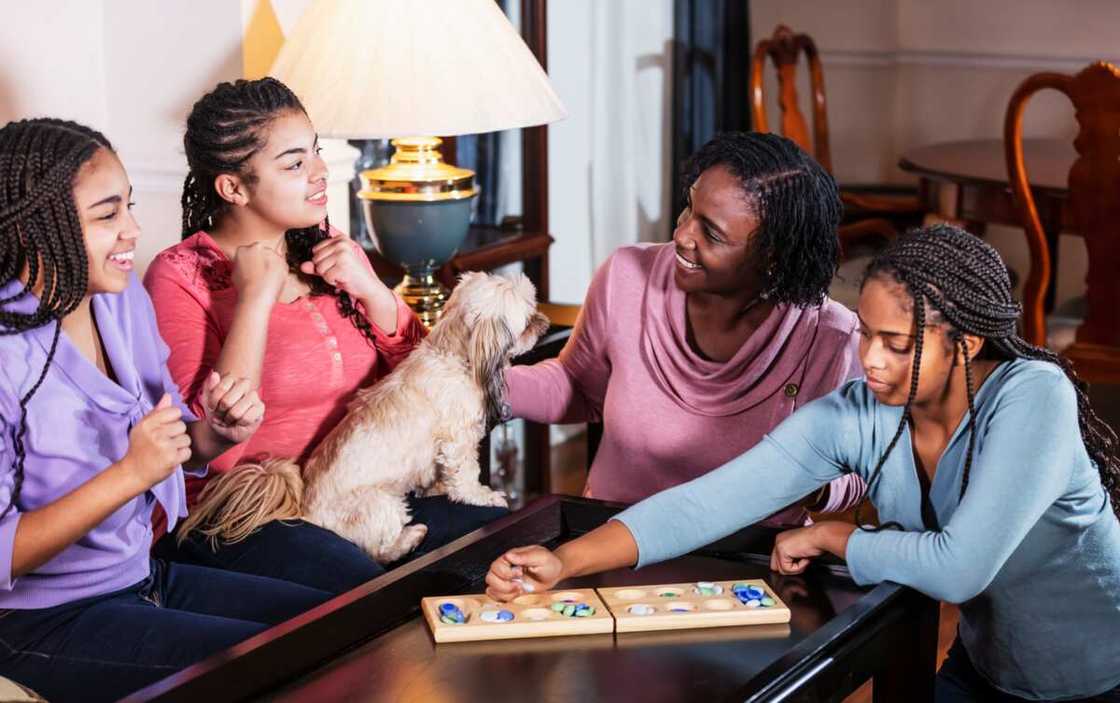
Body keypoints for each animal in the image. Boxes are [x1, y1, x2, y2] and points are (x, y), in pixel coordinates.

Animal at [176, 272, 553, 561]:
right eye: (528, 319)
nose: (545, 323)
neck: (453, 354)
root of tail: (304, 509)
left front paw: (433, 488)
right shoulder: (457, 442)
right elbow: (465, 476)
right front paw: (484, 496)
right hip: (381, 503)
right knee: (380, 551)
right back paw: (411, 538)